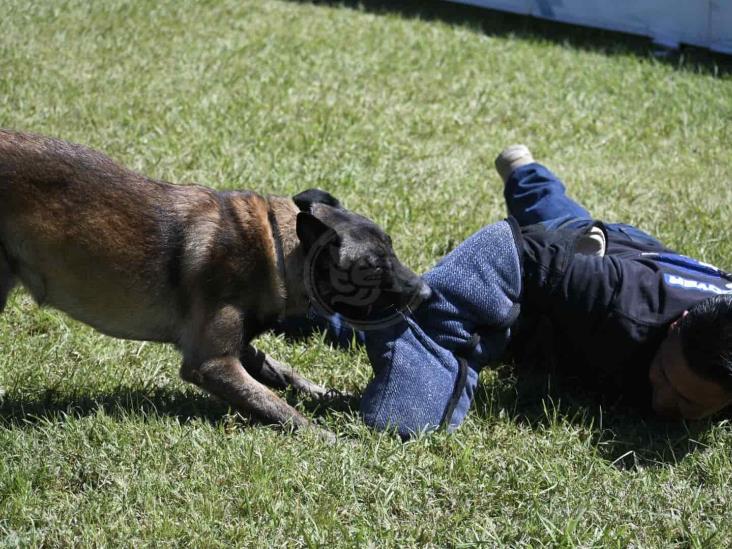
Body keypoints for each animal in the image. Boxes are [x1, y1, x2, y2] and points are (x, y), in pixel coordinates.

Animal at [0, 130, 428, 436]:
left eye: (392, 248)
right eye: (372, 268)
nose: (425, 292)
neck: (275, 247)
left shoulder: (237, 347)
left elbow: (283, 373)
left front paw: (330, 396)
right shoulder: (212, 363)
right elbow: (281, 408)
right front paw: (334, 440)